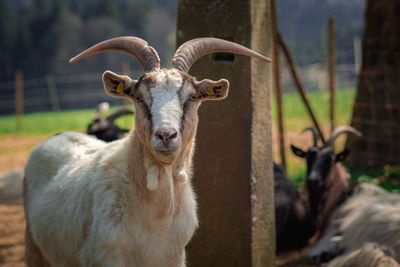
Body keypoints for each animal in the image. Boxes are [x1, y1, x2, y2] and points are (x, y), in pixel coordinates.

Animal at [23, 36, 270, 267]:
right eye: (139, 97)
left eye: (191, 97)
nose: (166, 135)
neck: (157, 216)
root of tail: (59, 136)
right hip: (34, 249)